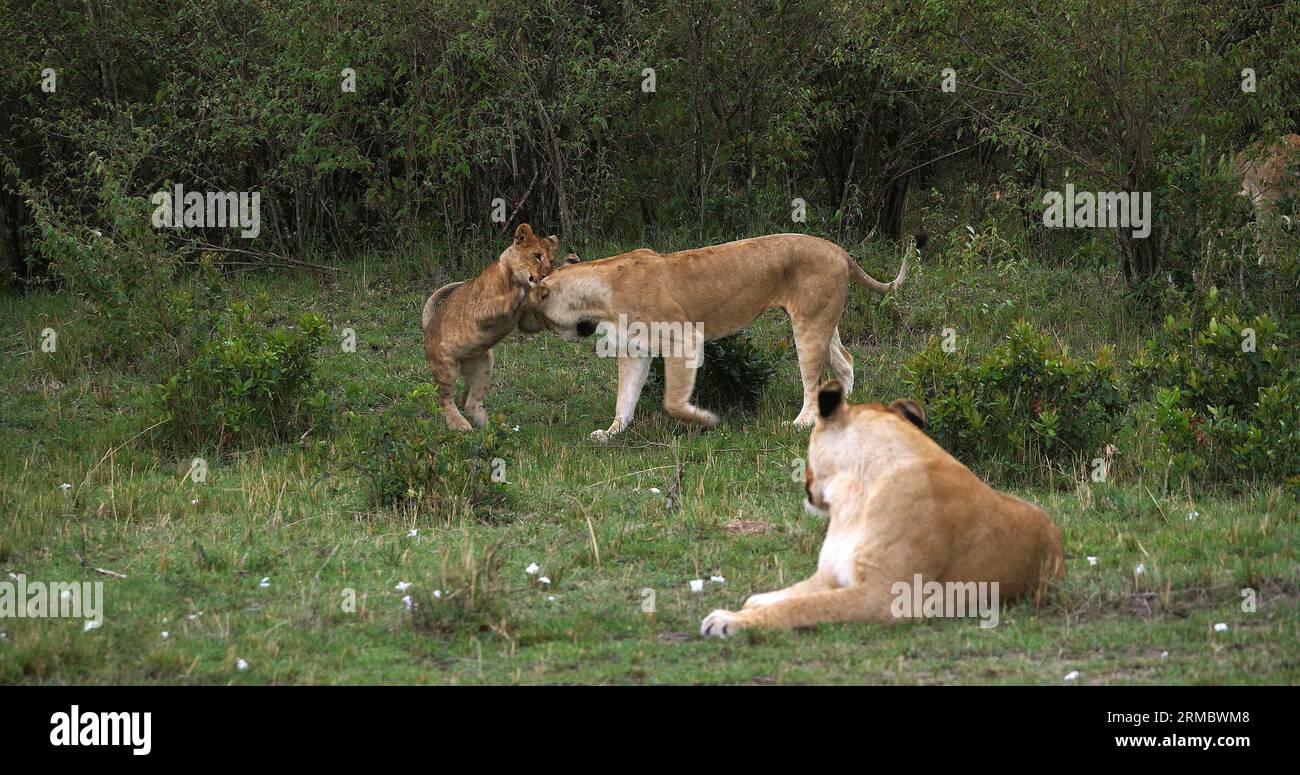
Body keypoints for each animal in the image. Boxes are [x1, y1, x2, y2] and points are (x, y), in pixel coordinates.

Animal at [421, 223, 573, 430]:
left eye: (551, 260)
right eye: (536, 255)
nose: (545, 275)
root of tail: (429, 325)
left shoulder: (526, 323)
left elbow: (531, 321)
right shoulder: (480, 310)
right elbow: (507, 299)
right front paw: (526, 290)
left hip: (485, 363)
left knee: (469, 401)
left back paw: (494, 427)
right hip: (446, 366)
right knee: (444, 399)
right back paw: (459, 425)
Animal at [520, 233, 921, 441]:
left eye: (534, 311)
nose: (522, 327)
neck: (598, 292)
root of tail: (838, 249)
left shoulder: (683, 338)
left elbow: (672, 401)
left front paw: (706, 420)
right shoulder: (635, 350)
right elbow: (625, 397)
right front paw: (612, 432)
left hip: (809, 325)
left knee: (813, 381)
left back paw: (802, 423)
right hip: (823, 321)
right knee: (846, 362)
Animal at [700, 381, 1064, 637]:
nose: (806, 484)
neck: (853, 498)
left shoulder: (884, 596)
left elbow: (803, 607)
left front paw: (728, 621)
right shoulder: (830, 574)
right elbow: (789, 595)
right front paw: (747, 606)